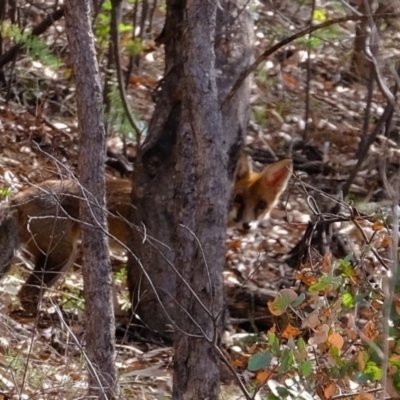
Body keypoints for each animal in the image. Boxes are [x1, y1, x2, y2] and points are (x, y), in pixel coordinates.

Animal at [0, 155, 294, 308]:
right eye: (239, 199)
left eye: (261, 205)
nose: (247, 226)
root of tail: (19, 197)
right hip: (60, 257)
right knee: (26, 293)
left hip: (63, 256)